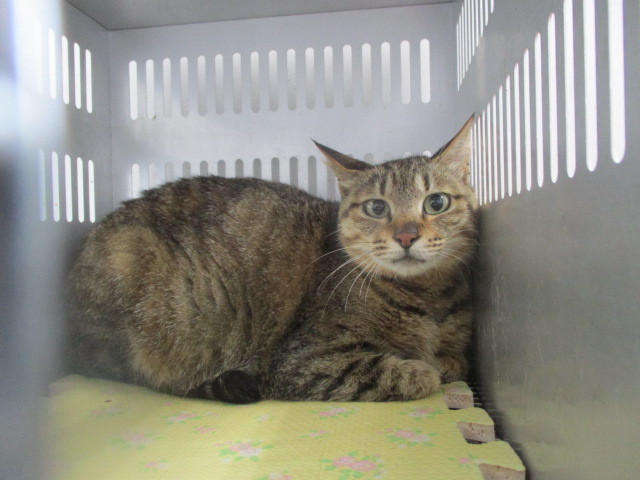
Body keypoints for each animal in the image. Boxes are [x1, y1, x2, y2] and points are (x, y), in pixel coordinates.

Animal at [68, 116, 478, 404]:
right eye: (377, 207)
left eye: (436, 202)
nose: (407, 236)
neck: (426, 297)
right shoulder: (304, 360)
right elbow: (408, 373)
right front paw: (424, 369)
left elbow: (457, 360)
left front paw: (440, 361)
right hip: (135, 274)